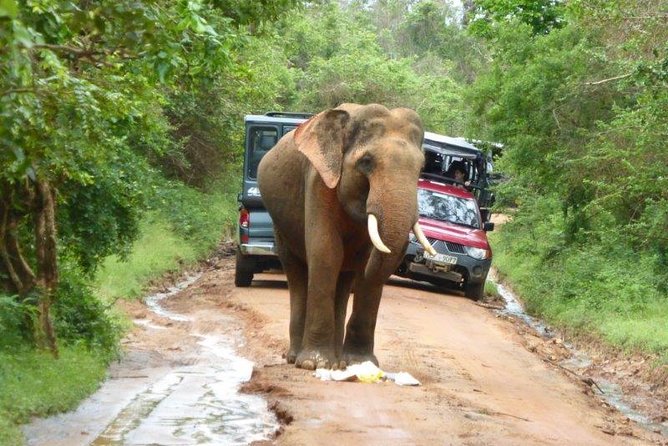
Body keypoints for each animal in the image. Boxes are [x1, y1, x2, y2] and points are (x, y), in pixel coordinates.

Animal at [257, 103, 435, 370]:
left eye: (422, 168)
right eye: (366, 161)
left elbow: (364, 268)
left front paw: (360, 364)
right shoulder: (319, 182)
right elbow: (326, 252)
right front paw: (315, 364)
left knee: (344, 279)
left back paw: (338, 362)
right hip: (280, 226)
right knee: (297, 272)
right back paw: (297, 358)